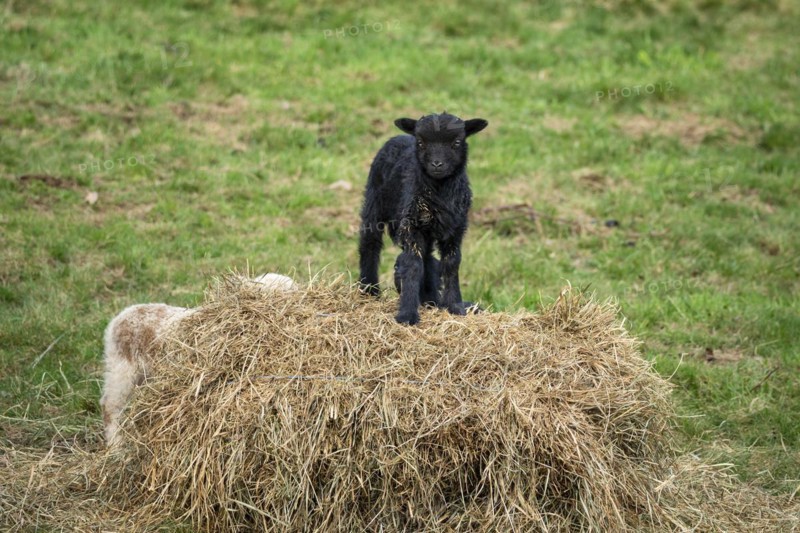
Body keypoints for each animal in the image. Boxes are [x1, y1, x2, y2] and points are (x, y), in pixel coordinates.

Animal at [358, 112, 488, 325]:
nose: (437, 164)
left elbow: (451, 264)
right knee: (369, 243)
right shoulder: (411, 226)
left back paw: (430, 299)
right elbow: (412, 265)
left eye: (457, 142)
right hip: (373, 202)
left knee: (427, 257)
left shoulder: (455, 228)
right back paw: (369, 290)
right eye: (421, 142)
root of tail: (401, 136)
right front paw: (407, 314)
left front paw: (454, 307)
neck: (439, 191)